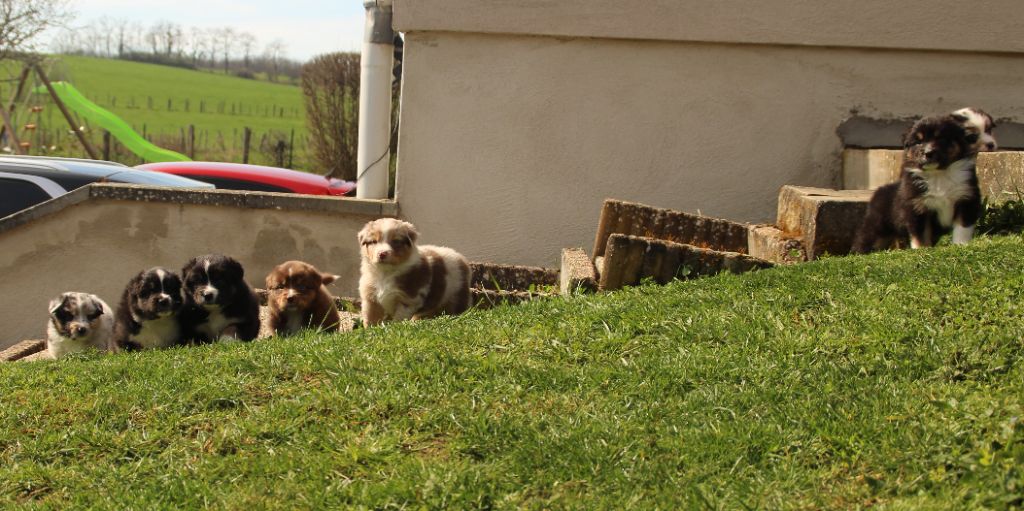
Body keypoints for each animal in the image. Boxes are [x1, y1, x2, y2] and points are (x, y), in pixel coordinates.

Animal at [851, 113, 987, 253]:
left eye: (940, 139)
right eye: (918, 142)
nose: (928, 153)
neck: (938, 174)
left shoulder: (966, 199)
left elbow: (962, 228)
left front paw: (961, 245)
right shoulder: (917, 207)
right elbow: (920, 235)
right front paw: (921, 250)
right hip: (877, 227)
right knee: (864, 240)